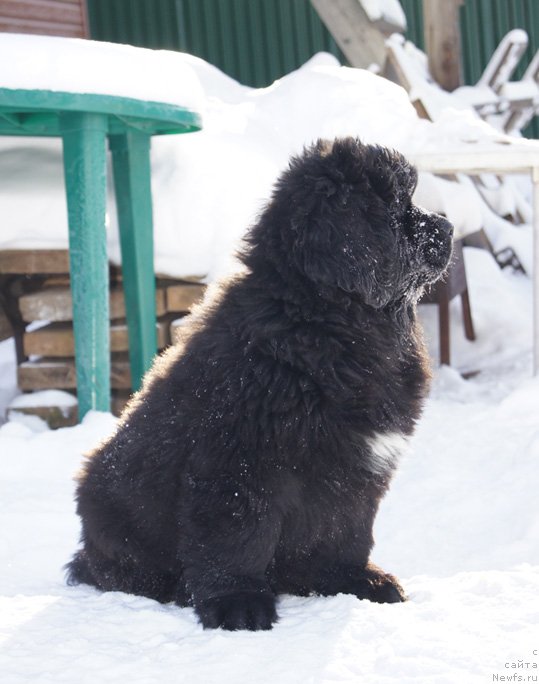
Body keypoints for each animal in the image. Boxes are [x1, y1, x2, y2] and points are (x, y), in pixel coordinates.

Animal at [68, 138, 456, 632]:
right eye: (395, 209)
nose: (447, 226)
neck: (326, 324)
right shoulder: (240, 461)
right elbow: (238, 538)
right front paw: (238, 604)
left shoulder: (356, 470)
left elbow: (345, 531)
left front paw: (356, 580)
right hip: (109, 506)